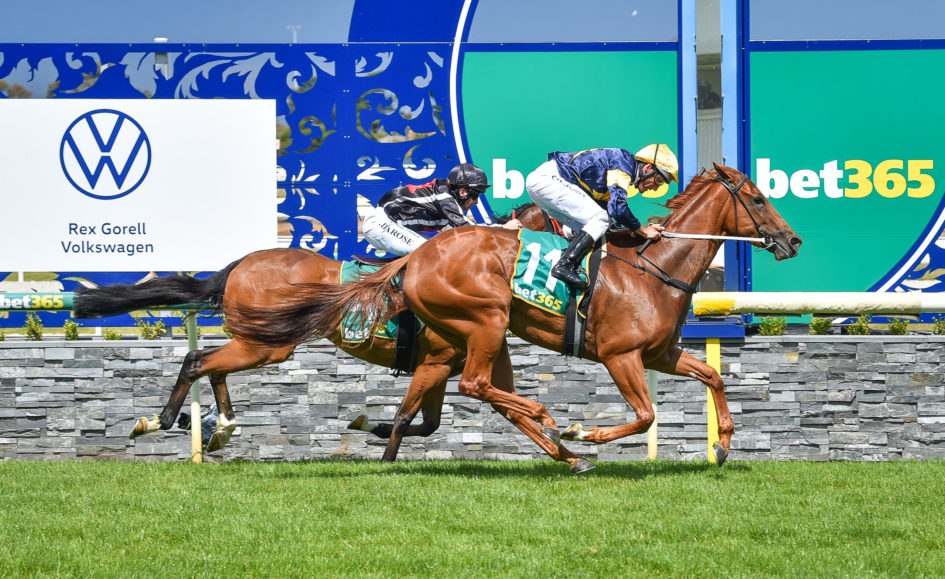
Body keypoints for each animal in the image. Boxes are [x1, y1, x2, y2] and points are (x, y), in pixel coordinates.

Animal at [71, 203, 558, 460]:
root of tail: (238, 265)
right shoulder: (436, 361)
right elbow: (409, 418)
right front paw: (385, 456)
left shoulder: (438, 364)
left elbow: (428, 422)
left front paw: (376, 432)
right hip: (268, 344)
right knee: (198, 362)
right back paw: (163, 421)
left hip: (258, 342)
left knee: (211, 367)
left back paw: (218, 427)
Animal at [225, 164, 802, 472]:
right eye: (756, 198)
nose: (792, 240)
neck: (653, 268)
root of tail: (415, 260)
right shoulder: (621, 355)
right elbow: (645, 415)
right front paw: (584, 432)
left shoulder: (661, 352)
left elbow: (711, 376)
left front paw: (723, 444)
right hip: (485, 320)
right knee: (478, 386)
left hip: (489, 333)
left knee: (487, 391)